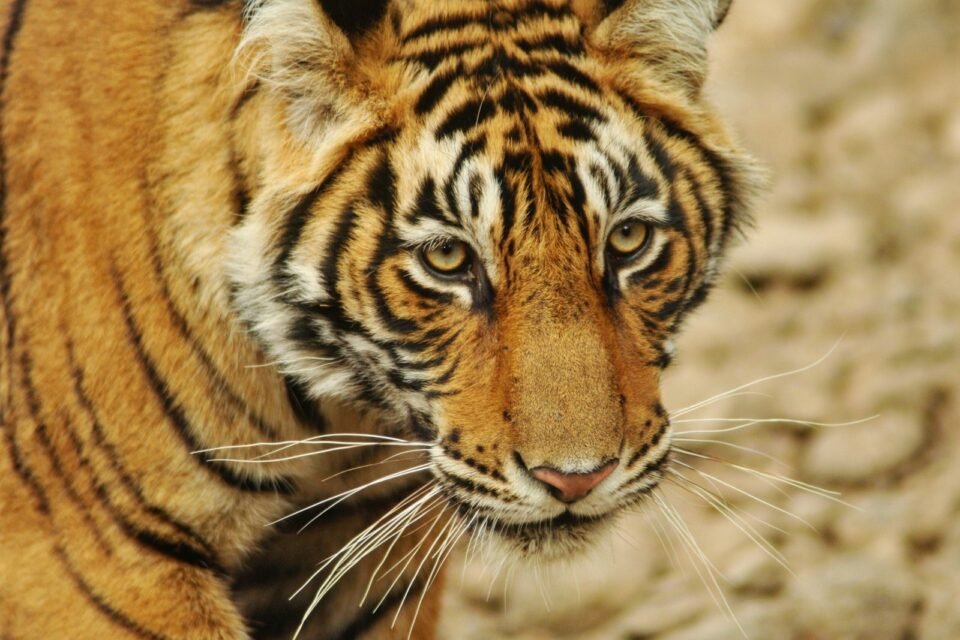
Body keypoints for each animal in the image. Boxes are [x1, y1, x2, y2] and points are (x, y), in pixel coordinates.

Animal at [0, 0, 760, 637]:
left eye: (628, 240)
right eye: (448, 258)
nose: (577, 480)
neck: (329, 412)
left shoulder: (372, 557)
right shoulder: (98, 563)